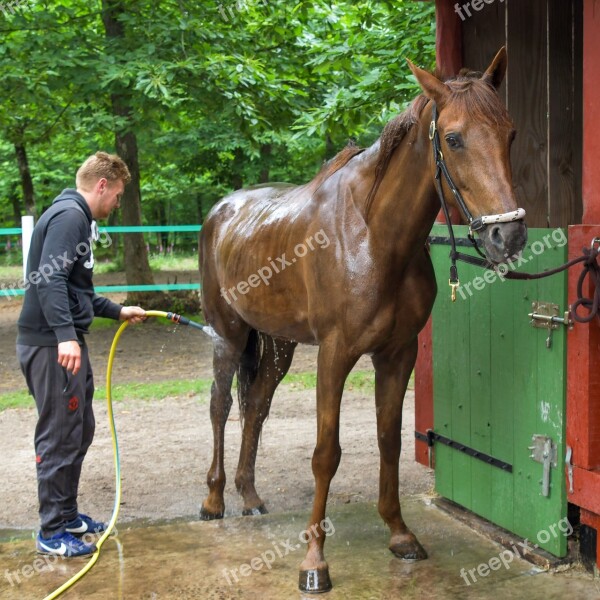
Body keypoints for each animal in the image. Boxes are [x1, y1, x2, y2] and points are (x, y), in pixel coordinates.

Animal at [200, 49, 524, 592]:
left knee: (257, 405)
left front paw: (400, 534)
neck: (374, 237)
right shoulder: (335, 354)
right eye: (454, 138)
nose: (511, 237)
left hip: (278, 345)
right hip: (228, 335)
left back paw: (250, 496)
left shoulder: (397, 354)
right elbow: (325, 454)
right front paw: (314, 562)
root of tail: (221, 211)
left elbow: (389, 440)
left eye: (510, 133)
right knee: (221, 407)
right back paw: (214, 499)